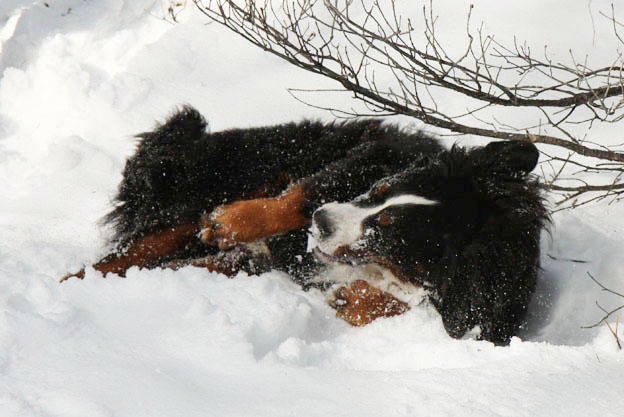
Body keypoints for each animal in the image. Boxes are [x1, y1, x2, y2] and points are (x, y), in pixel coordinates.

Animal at [63, 106, 544, 344]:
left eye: (386, 231)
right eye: (379, 189)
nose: (323, 221)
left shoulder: (485, 313)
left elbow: (407, 305)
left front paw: (357, 298)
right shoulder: (380, 151)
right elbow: (298, 196)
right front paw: (233, 220)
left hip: (229, 261)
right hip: (213, 188)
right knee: (131, 250)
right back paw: (73, 284)